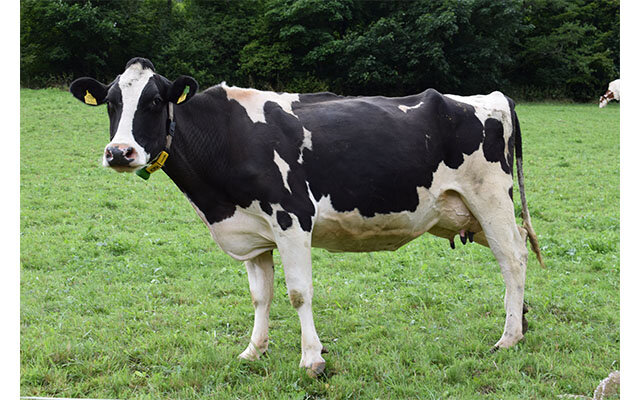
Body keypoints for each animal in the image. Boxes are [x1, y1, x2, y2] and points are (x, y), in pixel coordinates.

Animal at [69, 57, 544, 377]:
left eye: (153, 101)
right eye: (110, 102)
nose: (119, 152)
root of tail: (493, 97)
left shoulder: (292, 219)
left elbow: (298, 293)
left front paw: (312, 359)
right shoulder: (253, 234)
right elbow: (260, 296)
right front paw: (253, 351)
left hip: (490, 199)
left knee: (512, 258)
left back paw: (507, 338)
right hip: (469, 213)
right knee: (518, 250)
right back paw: (520, 321)